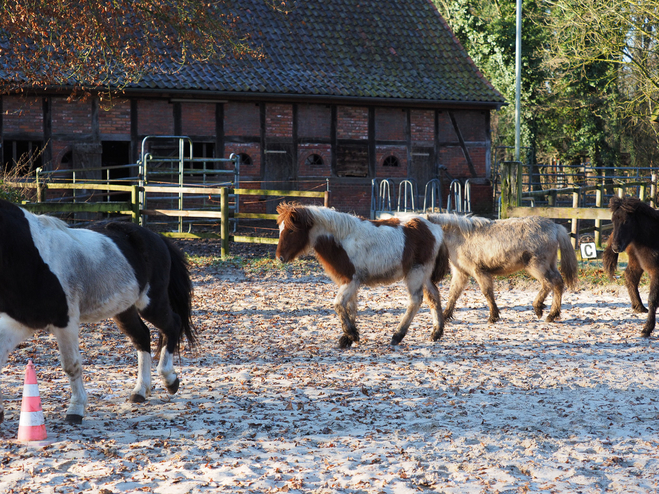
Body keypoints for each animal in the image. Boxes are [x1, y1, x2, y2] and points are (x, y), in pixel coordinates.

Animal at [0, 200, 196, 424]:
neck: (33, 256)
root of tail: (157, 237)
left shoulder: (65, 323)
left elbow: (71, 365)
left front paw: (76, 409)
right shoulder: (20, 323)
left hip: (151, 303)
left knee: (172, 325)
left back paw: (170, 380)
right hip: (124, 310)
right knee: (142, 337)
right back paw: (140, 391)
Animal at [276, 203, 452, 350]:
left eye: (291, 230)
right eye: (280, 229)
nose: (280, 258)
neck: (341, 240)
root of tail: (433, 226)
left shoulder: (351, 280)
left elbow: (338, 304)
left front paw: (351, 335)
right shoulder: (348, 282)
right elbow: (350, 306)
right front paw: (348, 338)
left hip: (416, 273)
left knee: (415, 301)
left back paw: (397, 335)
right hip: (424, 274)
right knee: (433, 297)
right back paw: (436, 333)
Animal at [604, 196, 659, 336]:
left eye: (627, 221)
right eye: (613, 220)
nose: (615, 247)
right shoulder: (655, 272)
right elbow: (652, 299)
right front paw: (646, 329)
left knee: (630, 277)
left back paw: (638, 307)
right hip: (636, 260)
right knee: (630, 278)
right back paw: (639, 307)